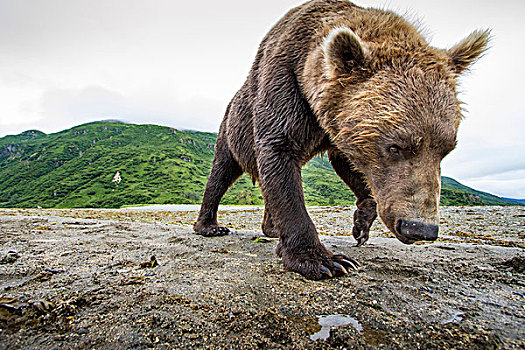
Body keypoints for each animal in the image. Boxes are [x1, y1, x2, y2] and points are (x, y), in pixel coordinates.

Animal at [191, 0, 488, 278]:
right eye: (395, 147)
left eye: (447, 149)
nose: (420, 228)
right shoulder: (285, 84)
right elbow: (281, 157)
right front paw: (323, 260)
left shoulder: (338, 130)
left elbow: (351, 166)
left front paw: (361, 224)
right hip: (231, 130)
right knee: (221, 173)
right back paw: (210, 226)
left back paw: (271, 228)